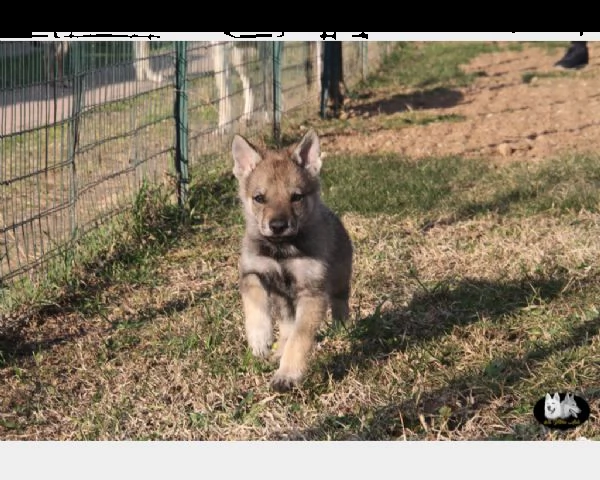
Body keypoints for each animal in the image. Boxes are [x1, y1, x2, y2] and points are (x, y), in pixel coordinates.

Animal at [230, 129, 352, 392]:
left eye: (296, 197)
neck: (282, 251)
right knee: (286, 326)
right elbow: (255, 302)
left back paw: (341, 326)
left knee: (340, 302)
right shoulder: (252, 271)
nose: (277, 226)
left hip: (339, 279)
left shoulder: (312, 293)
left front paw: (287, 375)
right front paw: (260, 337)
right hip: (283, 301)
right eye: (259, 198)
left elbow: (300, 337)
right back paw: (277, 350)